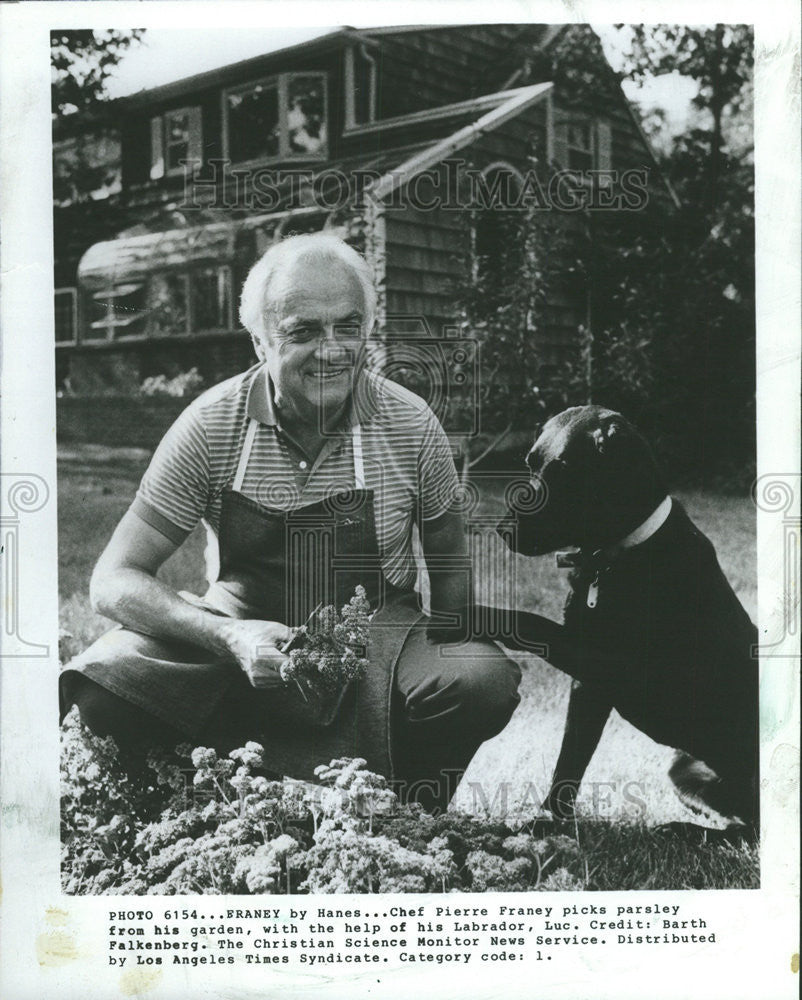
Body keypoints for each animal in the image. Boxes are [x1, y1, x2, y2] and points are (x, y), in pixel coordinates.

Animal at [494, 402, 756, 832]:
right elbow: (569, 762)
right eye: (530, 462)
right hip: (684, 769)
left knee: (749, 830)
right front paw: (551, 821)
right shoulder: (588, 687)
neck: (615, 555)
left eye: (565, 470)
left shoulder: (609, 664)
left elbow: (530, 621)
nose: (502, 530)